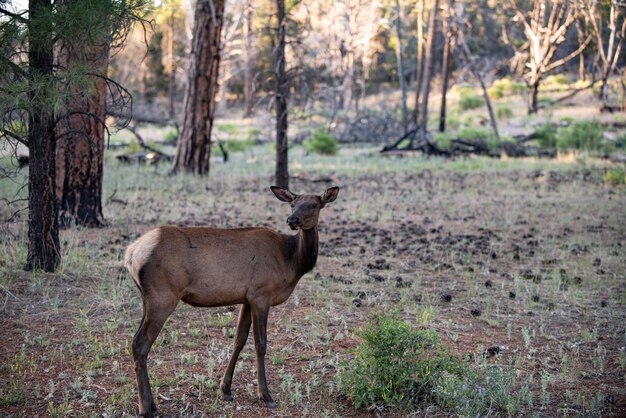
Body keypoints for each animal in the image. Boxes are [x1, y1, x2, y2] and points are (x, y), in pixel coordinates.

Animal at [122, 185, 336, 414]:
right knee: (140, 343)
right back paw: (147, 407)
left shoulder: (247, 298)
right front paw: (266, 395)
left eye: (314, 204)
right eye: (292, 204)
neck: (292, 263)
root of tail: (131, 254)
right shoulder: (261, 294)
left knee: (136, 341)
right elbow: (261, 344)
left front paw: (226, 389)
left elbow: (239, 340)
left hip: (148, 298)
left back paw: (148, 404)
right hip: (163, 296)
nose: (292, 220)